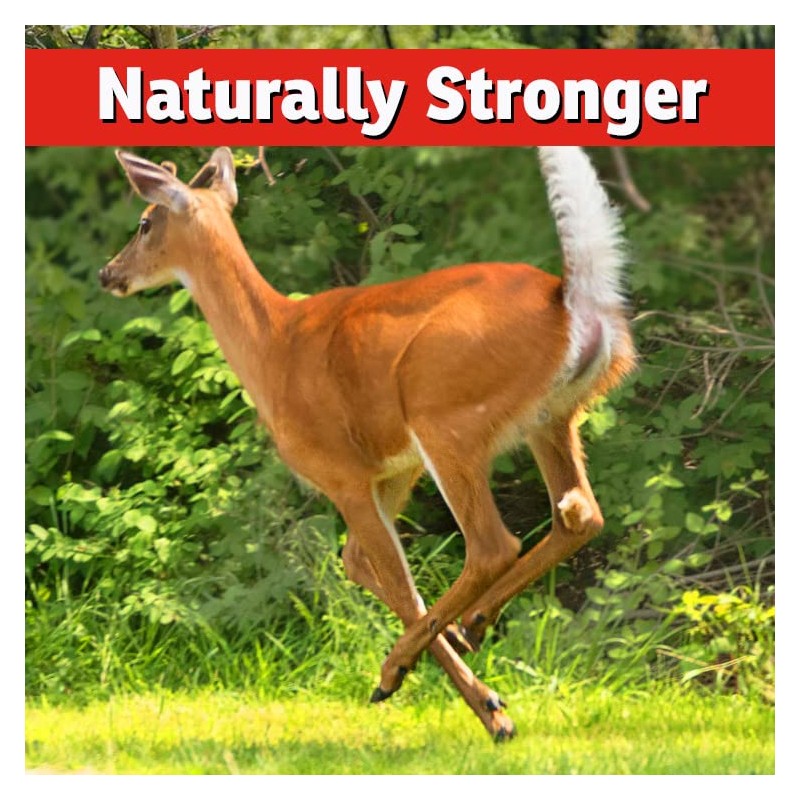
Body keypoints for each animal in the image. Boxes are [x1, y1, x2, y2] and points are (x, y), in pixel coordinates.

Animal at [99, 145, 635, 741]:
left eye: (145, 223)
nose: (108, 272)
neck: (273, 346)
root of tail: (571, 301)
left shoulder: (343, 474)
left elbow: (392, 577)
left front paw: (475, 703)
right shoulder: (393, 469)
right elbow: (363, 564)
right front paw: (478, 687)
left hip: (444, 415)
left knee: (494, 543)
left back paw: (406, 666)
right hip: (554, 418)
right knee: (581, 513)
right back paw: (473, 624)